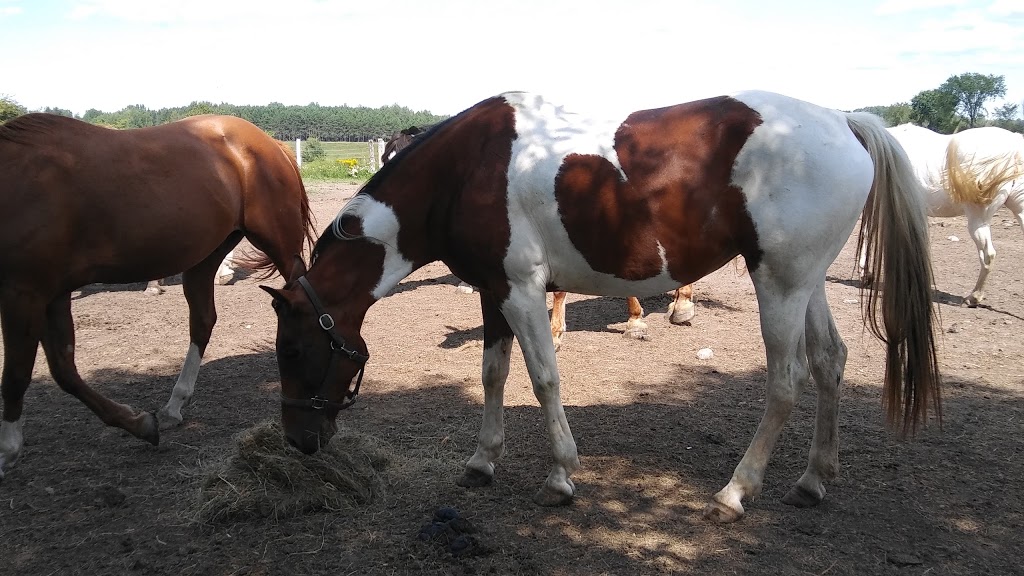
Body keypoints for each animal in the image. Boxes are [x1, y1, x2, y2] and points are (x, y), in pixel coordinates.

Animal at [0, 111, 315, 475]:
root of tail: (271, 144)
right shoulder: (52, 294)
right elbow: (64, 370)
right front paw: (140, 423)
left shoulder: (24, 292)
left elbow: (16, 376)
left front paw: (7, 450)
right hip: (205, 257)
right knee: (203, 321)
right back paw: (174, 404)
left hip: (277, 242)